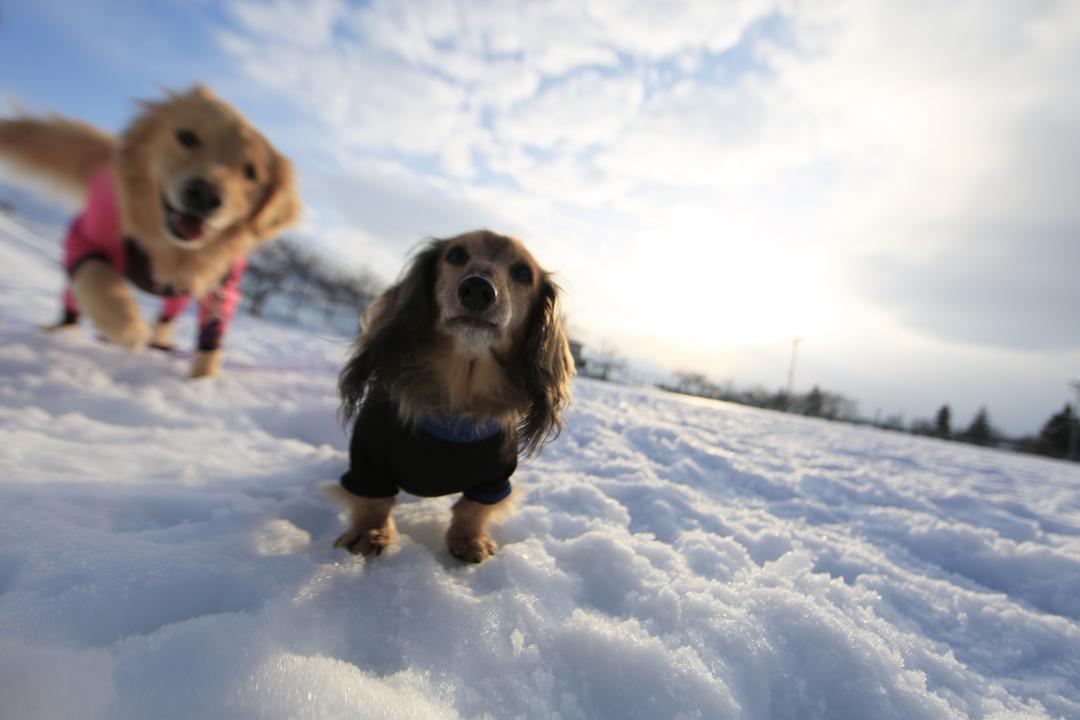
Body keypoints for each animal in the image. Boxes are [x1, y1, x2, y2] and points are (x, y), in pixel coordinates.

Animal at [0, 85, 300, 377]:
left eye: (251, 172)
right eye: (187, 137)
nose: (205, 195)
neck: (169, 248)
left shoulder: (221, 284)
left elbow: (212, 332)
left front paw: (202, 381)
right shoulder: (82, 239)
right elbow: (98, 277)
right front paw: (128, 327)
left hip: (180, 292)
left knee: (168, 314)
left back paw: (160, 340)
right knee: (75, 295)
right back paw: (62, 330)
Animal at [328, 231, 578, 561]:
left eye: (523, 273)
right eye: (456, 255)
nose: (478, 289)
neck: (459, 391)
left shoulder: (495, 479)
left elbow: (472, 510)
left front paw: (469, 541)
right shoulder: (368, 463)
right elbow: (375, 503)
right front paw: (370, 533)